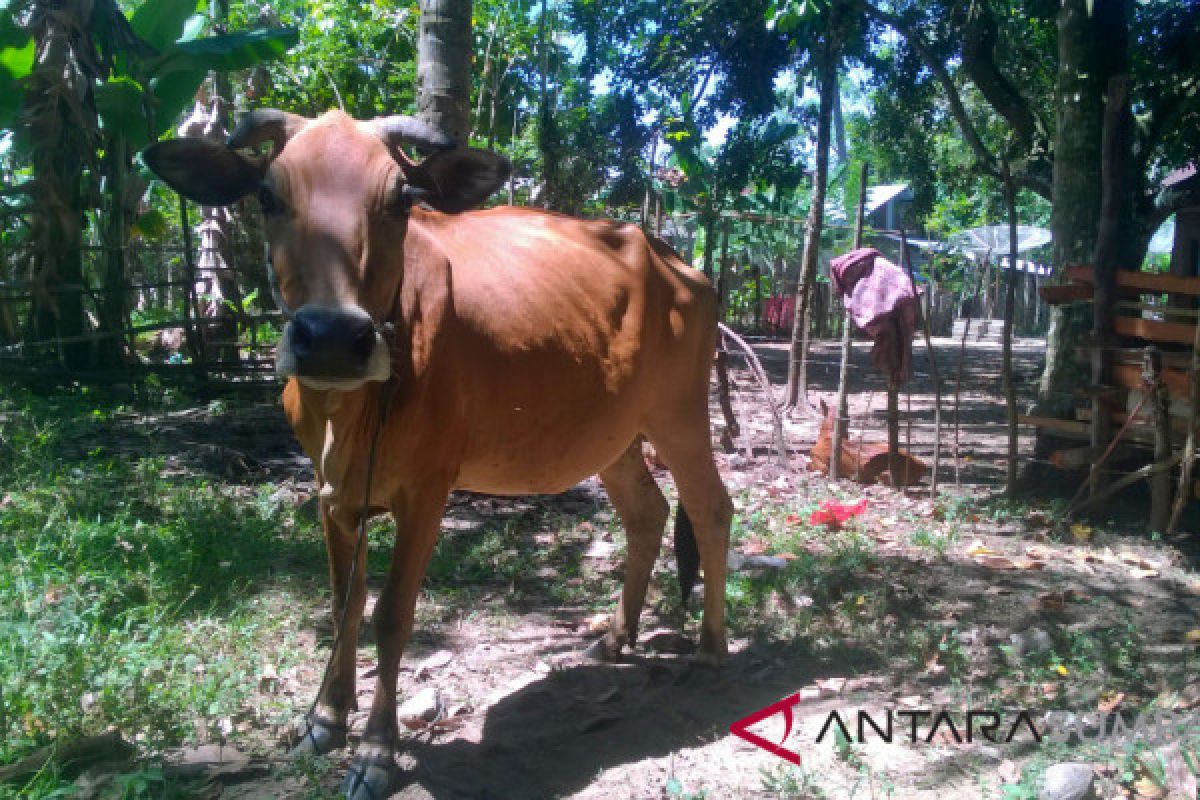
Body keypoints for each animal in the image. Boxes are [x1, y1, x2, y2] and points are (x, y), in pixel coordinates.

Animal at [147, 109, 729, 796]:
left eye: (401, 201)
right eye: (266, 196)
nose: (333, 339)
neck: (349, 412)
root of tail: (681, 263)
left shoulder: (426, 492)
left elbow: (392, 616)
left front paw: (375, 751)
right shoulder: (329, 491)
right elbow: (343, 605)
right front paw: (325, 719)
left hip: (680, 416)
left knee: (711, 510)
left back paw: (712, 646)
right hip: (614, 436)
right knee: (648, 515)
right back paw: (616, 638)